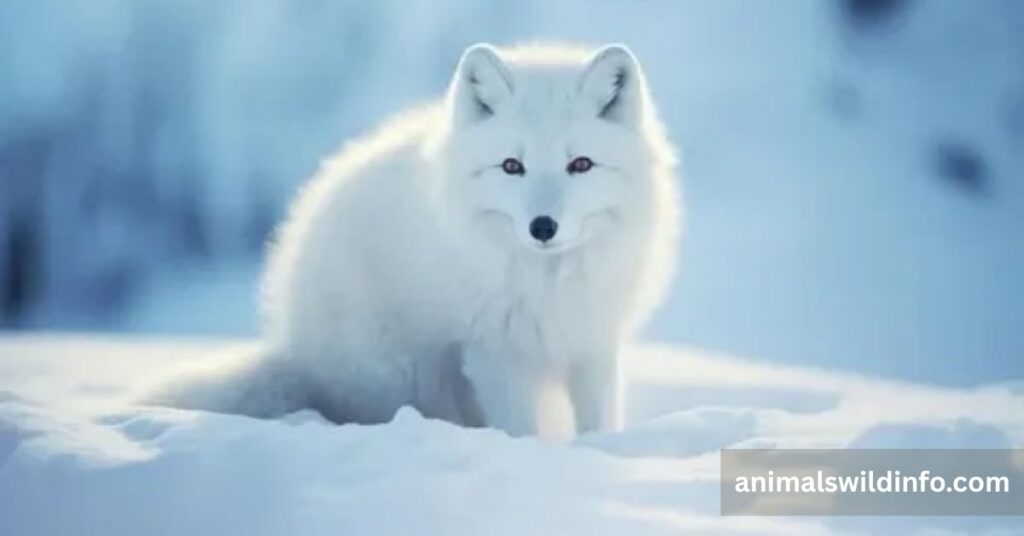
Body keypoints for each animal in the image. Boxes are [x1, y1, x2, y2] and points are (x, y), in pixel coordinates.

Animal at [149, 43, 680, 438]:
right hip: (404, 373)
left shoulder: (593, 342)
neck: (547, 283)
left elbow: (599, 423)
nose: (543, 226)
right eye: (512, 166)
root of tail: (296, 345)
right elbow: (518, 430)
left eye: (581, 164)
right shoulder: (494, 355)